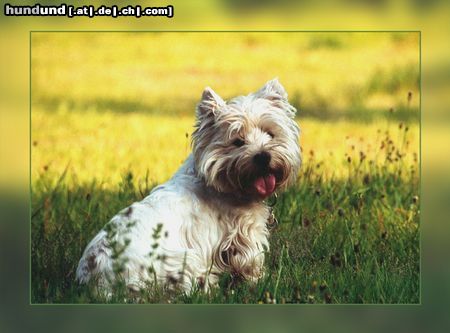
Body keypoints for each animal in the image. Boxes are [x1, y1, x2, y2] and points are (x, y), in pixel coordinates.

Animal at [76, 78, 302, 294]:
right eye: (237, 141)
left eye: (270, 133)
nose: (263, 156)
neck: (220, 183)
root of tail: (99, 282)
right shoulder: (245, 233)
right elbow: (249, 262)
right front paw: (261, 281)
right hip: (183, 262)